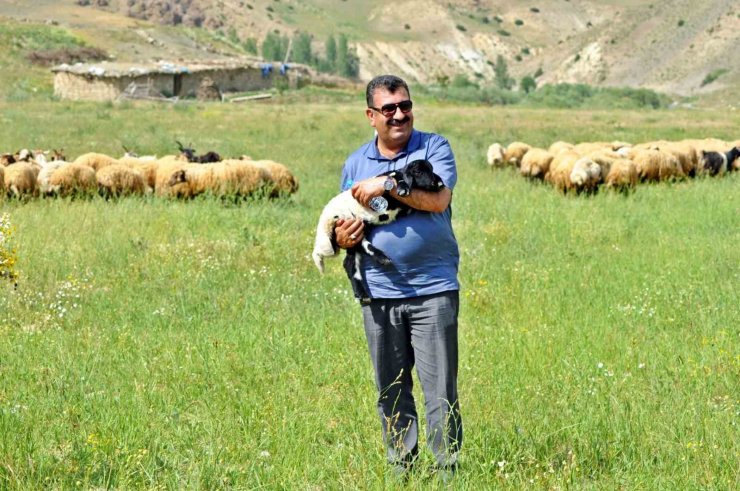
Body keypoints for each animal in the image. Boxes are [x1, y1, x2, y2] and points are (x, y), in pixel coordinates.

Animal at [312, 160, 446, 300]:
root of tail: (326, 215)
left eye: (431, 169)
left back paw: (364, 291)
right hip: (345, 225)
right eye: (418, 172)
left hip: (359, 230)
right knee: (352, 249)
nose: (437, 183)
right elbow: (396, 177)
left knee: (351, 263)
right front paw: (403, 189)